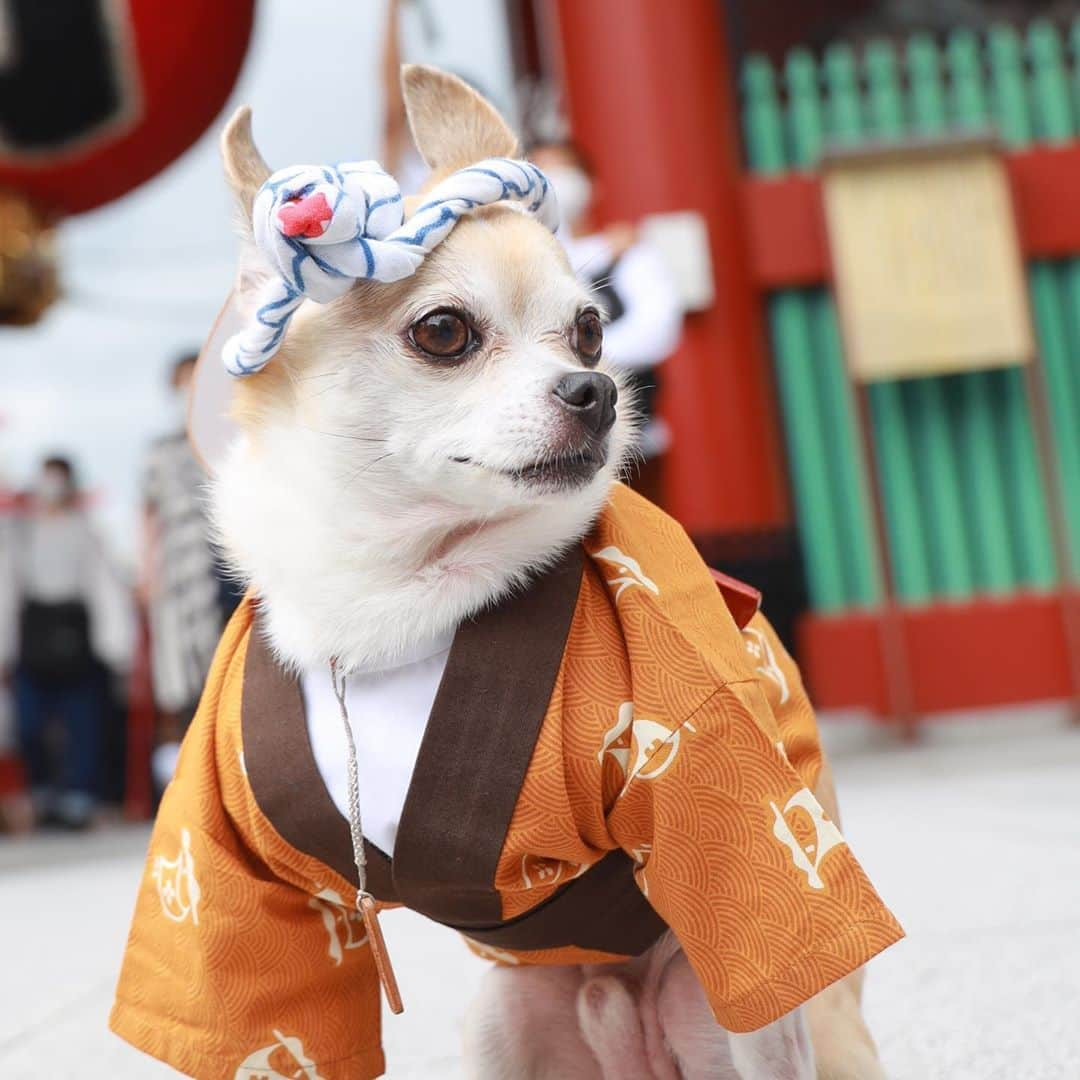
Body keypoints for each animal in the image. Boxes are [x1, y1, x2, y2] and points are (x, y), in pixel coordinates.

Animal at [208, 69, 885, 1080]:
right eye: (443, 331)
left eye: (592, 331)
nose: (595, 388)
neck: (401, 591)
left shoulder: (707, 761)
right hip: (503, 1018)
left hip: (726, 1021)